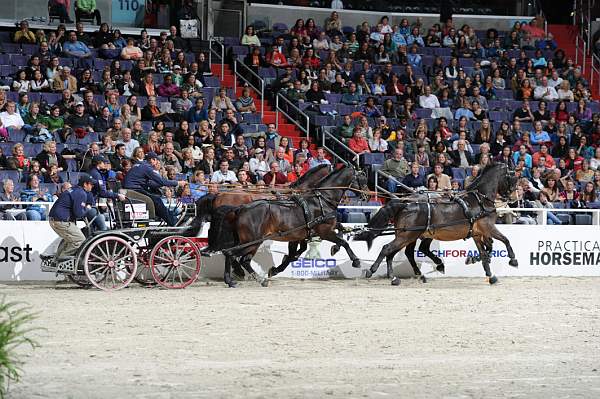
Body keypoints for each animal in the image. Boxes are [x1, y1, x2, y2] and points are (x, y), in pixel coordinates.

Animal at [206, 167, 368, 290]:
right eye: (362, 178)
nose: (367, 195)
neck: (321, 200)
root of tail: (240, 208)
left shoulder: (298, 236)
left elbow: (295, 254)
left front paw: (276, 269)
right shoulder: (324, 231)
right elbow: (344, 242)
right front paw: (356, 261)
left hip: (248, 241)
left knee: (236, 257)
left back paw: (244, 279)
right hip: (253, 241)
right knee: (235, 256)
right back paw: (241, 279)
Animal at [354, 164, 516, 286]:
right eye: (513, 176)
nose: (514, 197)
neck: (480, 200)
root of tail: (405, 202)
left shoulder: (477, 233)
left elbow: (485, 251)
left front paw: (488, 273)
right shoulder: (488, 227)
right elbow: (505, 240)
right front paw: (513, 260)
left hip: (409, 235)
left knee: (401, 252)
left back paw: (407, 275)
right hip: (408, 235)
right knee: (388, 249)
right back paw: (378, 272)